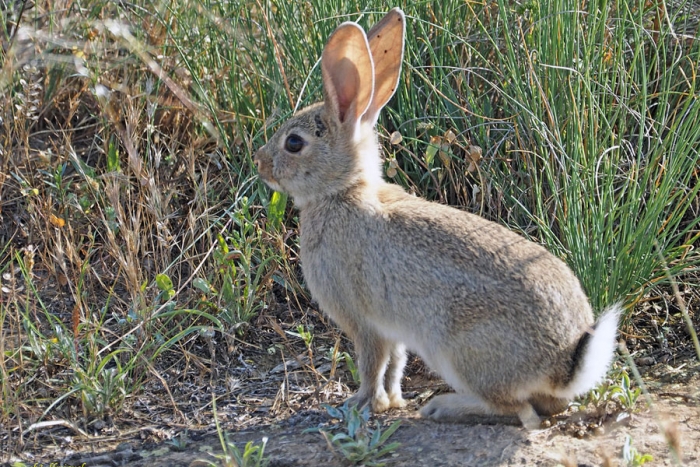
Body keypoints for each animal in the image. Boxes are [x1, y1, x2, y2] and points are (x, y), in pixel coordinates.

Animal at [254, 8, 620, 432]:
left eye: (294, 143)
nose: (260, 163)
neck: (341, 191)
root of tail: (562, 365)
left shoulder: (364, 322)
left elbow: (371, 364)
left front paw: (359, 404)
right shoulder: (393, 329)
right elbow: (394, 364)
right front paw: (392, 401)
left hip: (457, 350)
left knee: (518, 412)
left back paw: (442, 407)